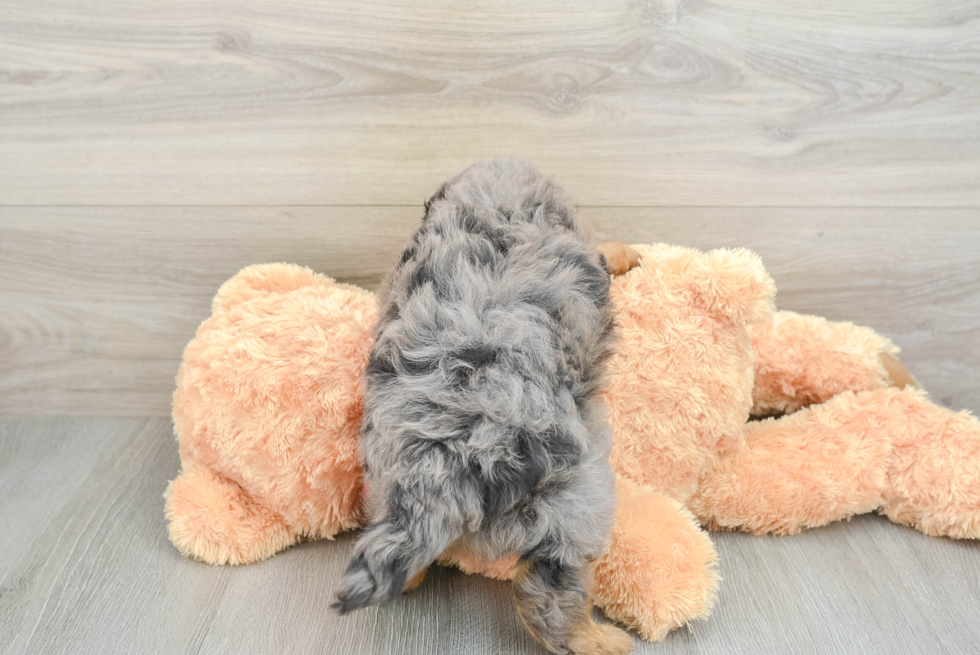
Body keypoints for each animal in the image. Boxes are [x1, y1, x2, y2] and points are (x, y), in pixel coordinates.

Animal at [332, 160, 636, 655]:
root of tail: (443, 466)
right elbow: (603, 249)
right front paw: (623, 252)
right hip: (577, 501)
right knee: (546, 590)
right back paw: (594, 639)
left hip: (380, 485)